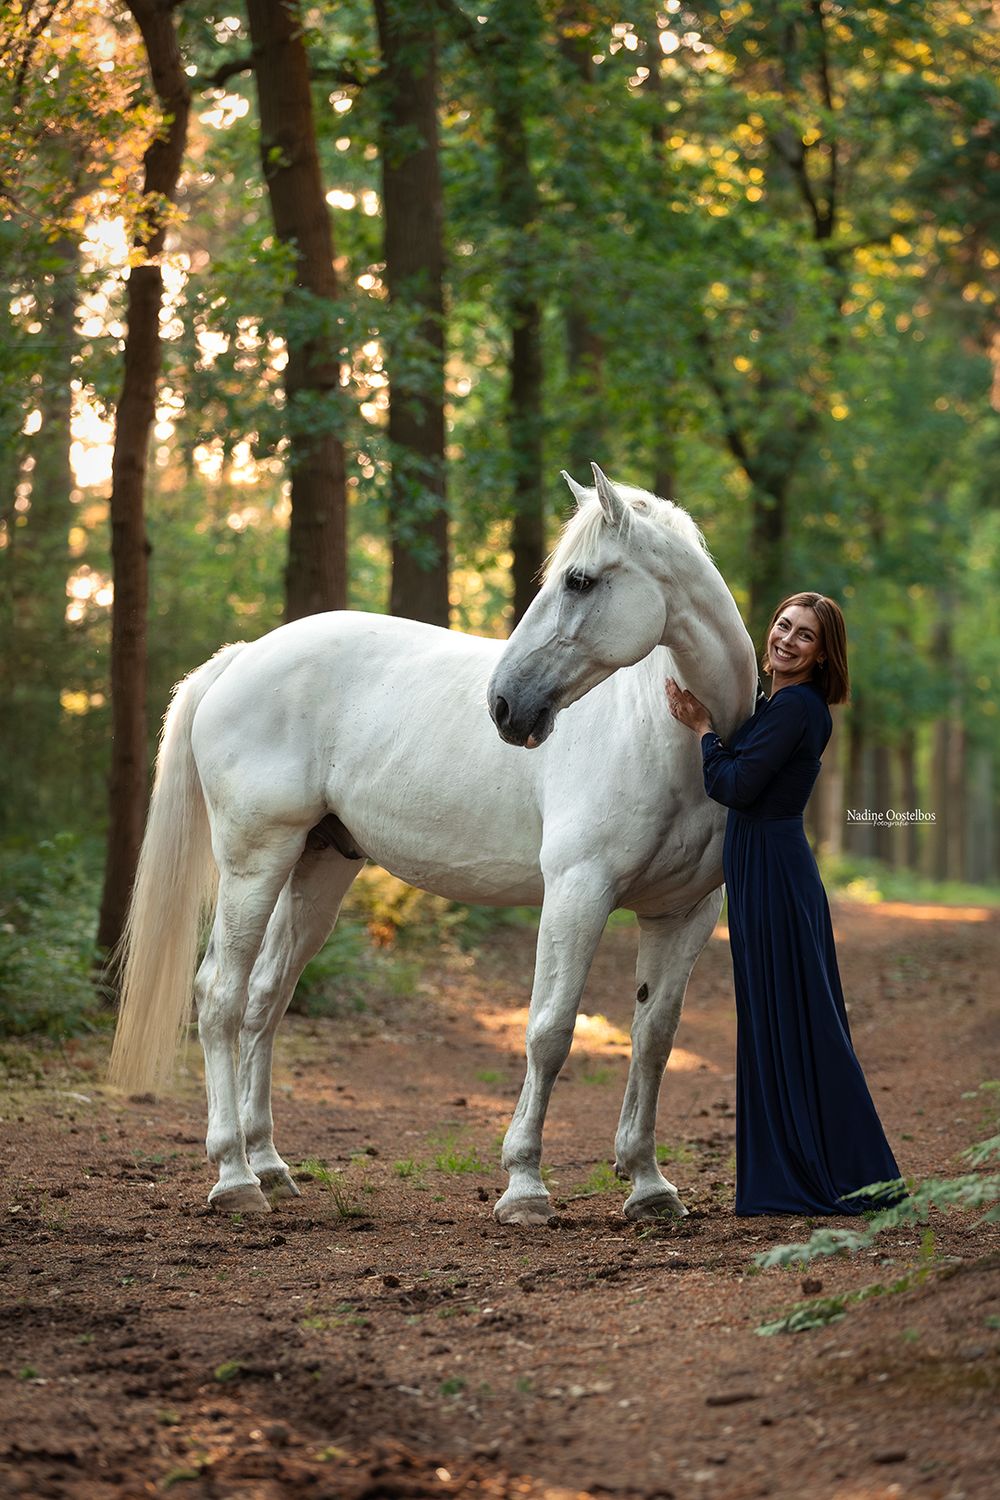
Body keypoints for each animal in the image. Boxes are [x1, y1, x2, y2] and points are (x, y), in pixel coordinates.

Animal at [109, 464, 757, 1225]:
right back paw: (235, 1176)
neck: (671, 734)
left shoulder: (683, 913)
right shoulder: (578, 891)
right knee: (220, 997)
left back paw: (268, 1163)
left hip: (318, 866)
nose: (504, 705)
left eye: (579, 581)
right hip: (256, 860)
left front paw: (649, 1185)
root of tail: (240, 660)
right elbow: (550, 1032)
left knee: (266, 998)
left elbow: (653, 1040)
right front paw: (524, 1187)